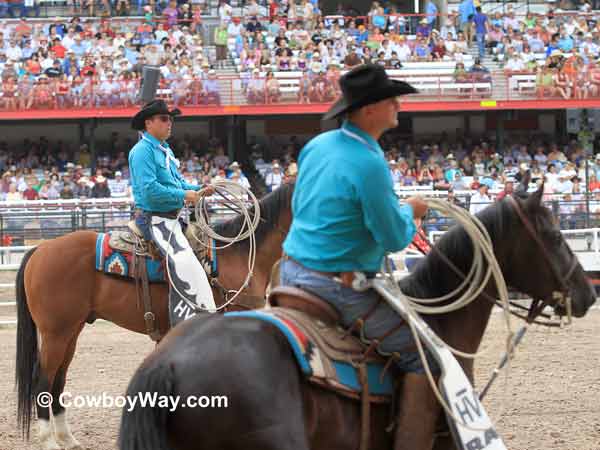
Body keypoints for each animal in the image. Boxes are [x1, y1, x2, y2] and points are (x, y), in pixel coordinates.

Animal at [15, 183, 294, 450]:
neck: (239, 255)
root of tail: (41, 248)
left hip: (71, 331)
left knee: (58, 379)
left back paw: (68, 438)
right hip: (55, 333)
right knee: (43, 380)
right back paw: (49, 440)